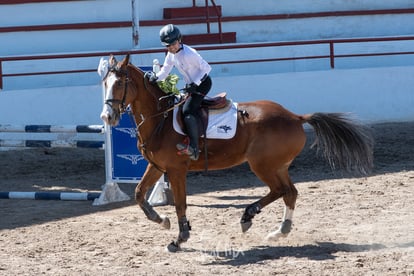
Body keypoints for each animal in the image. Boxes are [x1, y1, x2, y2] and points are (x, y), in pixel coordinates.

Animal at [98, 54, 374, 252]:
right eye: (104, 83)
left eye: (120, 83)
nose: (107, 117)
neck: (161, 119)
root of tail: (295, 116)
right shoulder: (157, 167)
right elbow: (139, 194)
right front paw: (161, 220)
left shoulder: (176, 170)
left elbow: (180, 204)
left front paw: (180, 238)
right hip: (278, 165)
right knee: (290, 192)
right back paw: (279, 230)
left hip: (262, 165)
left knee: (280, 190)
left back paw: (248, 216)